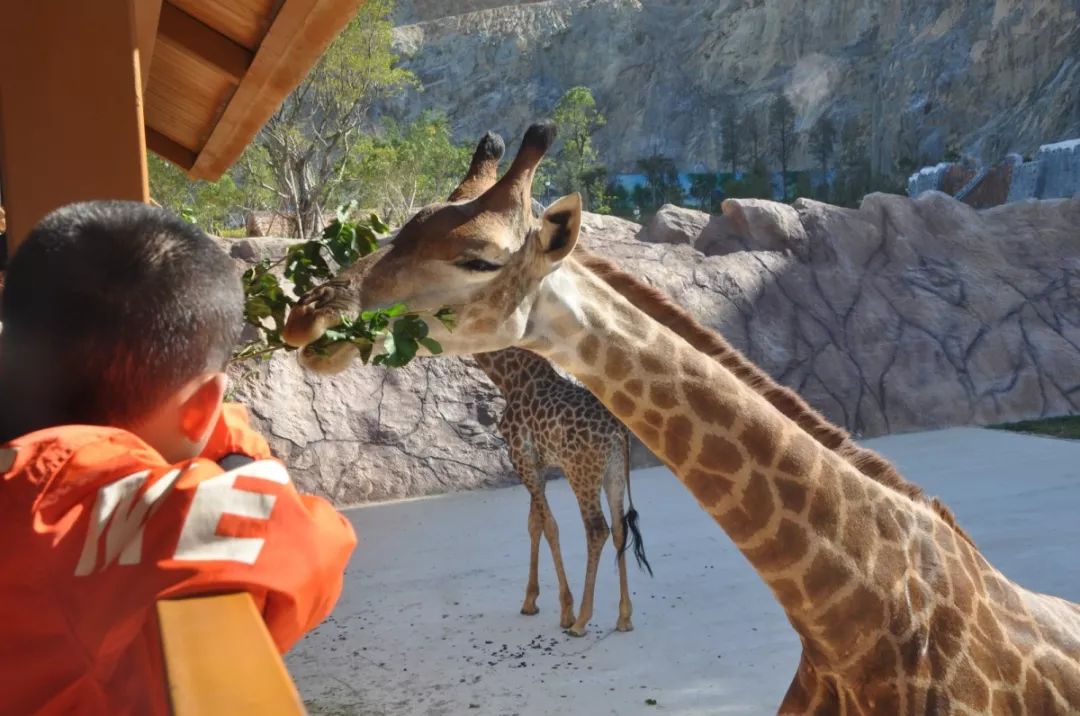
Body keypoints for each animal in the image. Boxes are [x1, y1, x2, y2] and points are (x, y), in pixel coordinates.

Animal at [287, 124, 1080, 716]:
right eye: (403, 228)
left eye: (477, 257)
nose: (307, 315)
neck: (856, 630)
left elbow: (545, 521)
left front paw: (559, 609)